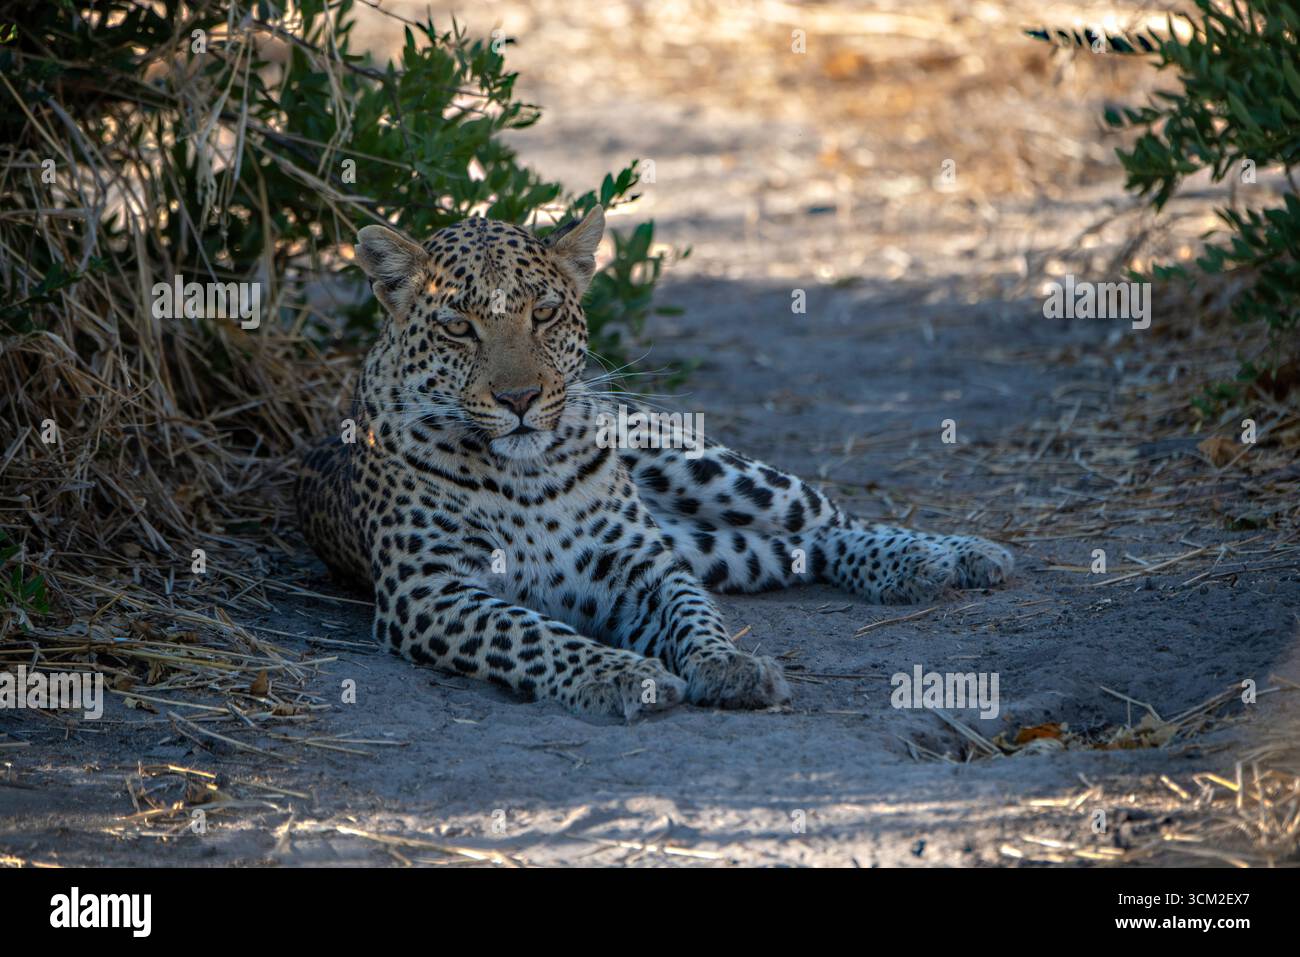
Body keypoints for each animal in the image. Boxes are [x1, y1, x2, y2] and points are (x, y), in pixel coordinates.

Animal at [295, 206, 1013, 720]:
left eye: (544, 313)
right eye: (457, 327)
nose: (519, 398)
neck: (523, 477)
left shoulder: (642, 561)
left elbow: (692, 614)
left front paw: (728, 664)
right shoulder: (430, 589)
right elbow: (532, 632)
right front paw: (622, 674)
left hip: (701, 465)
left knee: (827, 519)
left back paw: (953, 555)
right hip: (719, 547)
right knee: (793, 549)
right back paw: (927, 566)